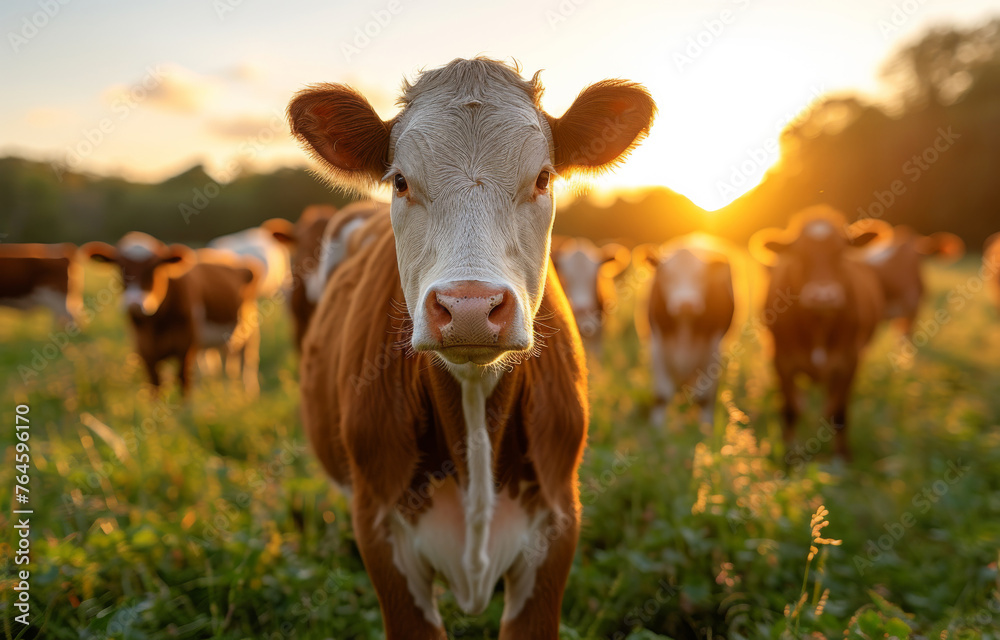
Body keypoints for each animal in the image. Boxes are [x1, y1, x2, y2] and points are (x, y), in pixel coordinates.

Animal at [83, 232, 262, 398]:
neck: (157, 325)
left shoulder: (186, 347)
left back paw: (246, 392)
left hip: (249, 329)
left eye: (154, 267)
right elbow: (155, 385)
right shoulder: (144, 350)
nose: (134, 304)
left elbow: (183, 382)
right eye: (121, 268)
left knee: (247, 360)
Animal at [636, 238, 740, 428]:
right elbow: (662, 394)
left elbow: (705, 396)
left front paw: (705, 428)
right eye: (667, 276)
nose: (686, 304)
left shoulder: (713, 347)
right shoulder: (657, 345)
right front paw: (657, 428)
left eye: (701, 277)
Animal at [748, 208, 888, 462]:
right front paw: (789, 452)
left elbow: (839, 411)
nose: (823, 296)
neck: (818, 324)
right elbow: (791, 409)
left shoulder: (849, 360)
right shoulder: (782, 360)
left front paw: (842, 458)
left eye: (841, 254)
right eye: (799, 255)